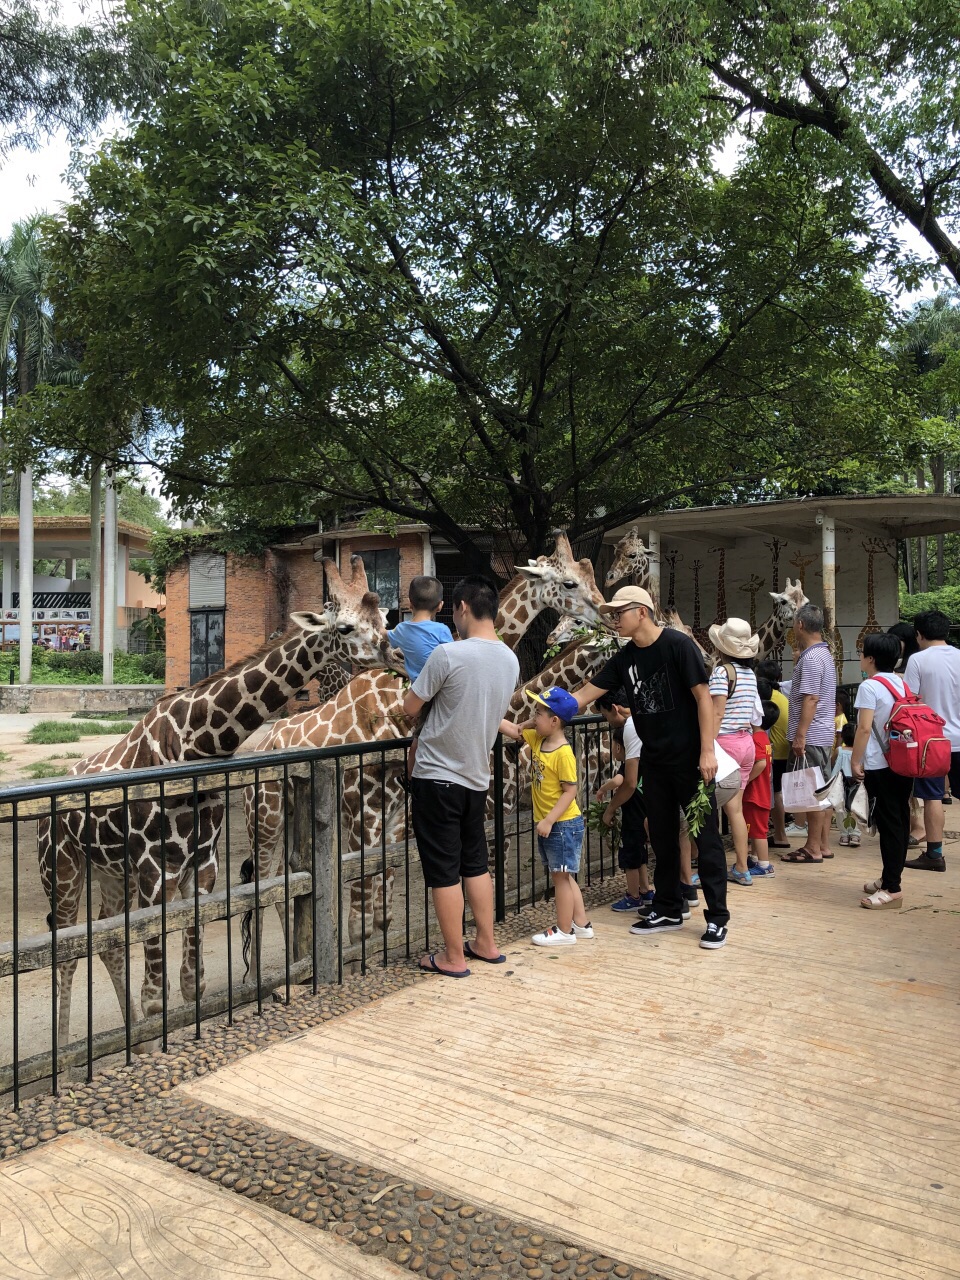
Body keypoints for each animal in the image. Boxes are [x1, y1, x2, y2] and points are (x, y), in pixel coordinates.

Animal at [38, 558, 401, 1049]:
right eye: (345, 627)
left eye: (383, 619)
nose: (397, 655)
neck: (197, 743)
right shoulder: (156, 873)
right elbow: (157, 993)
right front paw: (161, 1046)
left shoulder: (201, 870)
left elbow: (193, 981)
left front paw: (182, 1035)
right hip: (61, 867)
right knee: (66, 950)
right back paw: (66, 1048)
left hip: (111, 872)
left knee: (108, 940)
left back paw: (132, 1037)